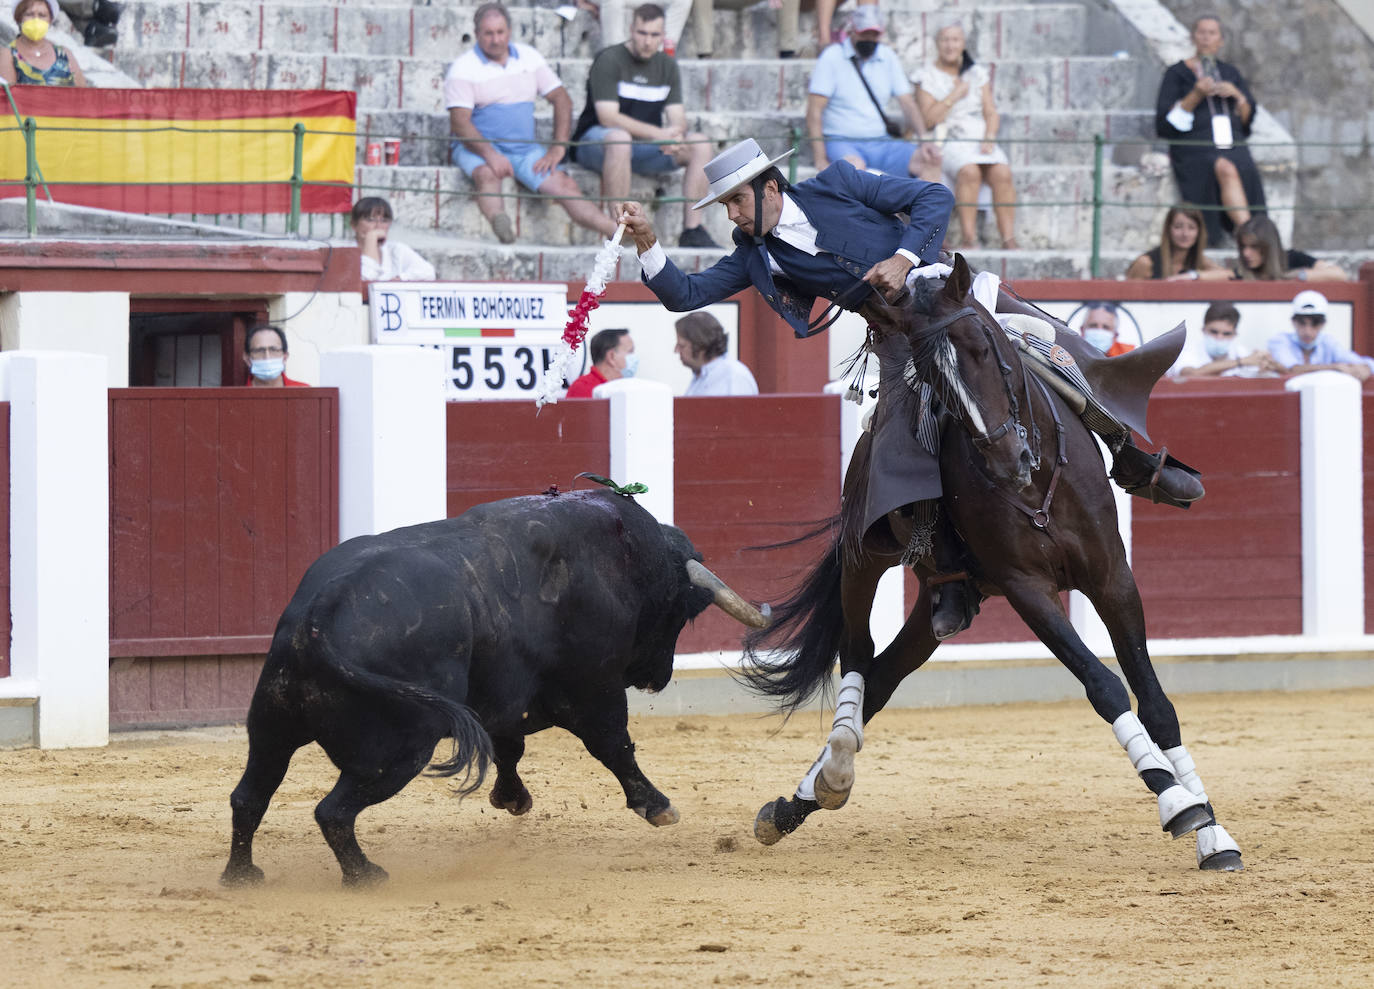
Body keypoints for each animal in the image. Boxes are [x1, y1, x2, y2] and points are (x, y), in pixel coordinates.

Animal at [219, 491, 769, 884]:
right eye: (681, 612)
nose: (658, 677)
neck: (621, 557)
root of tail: (319, 617)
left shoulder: (506, 698)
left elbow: (510, 747)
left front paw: (512, 799)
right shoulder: (593, 688)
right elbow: (615, 745)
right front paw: (657, 806)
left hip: (272, 728)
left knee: (249, 797)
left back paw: (242, 876)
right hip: (397, 749)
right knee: (332, 811)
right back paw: (365, 875)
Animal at [741, 256, 1247, 873]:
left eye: (984, 347)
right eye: (930, 378)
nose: (1010, 462)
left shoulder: (1113, 577)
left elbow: (1155, 701)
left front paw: (1213, 833)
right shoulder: (1027, 588)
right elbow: (1103, 684)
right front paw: (1176, 802)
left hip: (939, 603)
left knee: (883, 677)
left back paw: (801, 799)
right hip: (865, 558)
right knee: (858, 656)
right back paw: (830, 774)